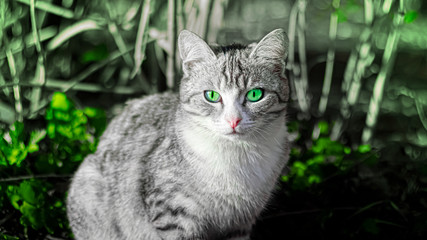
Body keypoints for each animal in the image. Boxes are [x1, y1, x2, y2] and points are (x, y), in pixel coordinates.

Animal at [67, 28, 292, 240]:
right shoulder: (171, 211)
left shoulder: (241, 221)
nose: (233, 120)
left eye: (255, 94)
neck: (236, 156)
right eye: (211, 95)